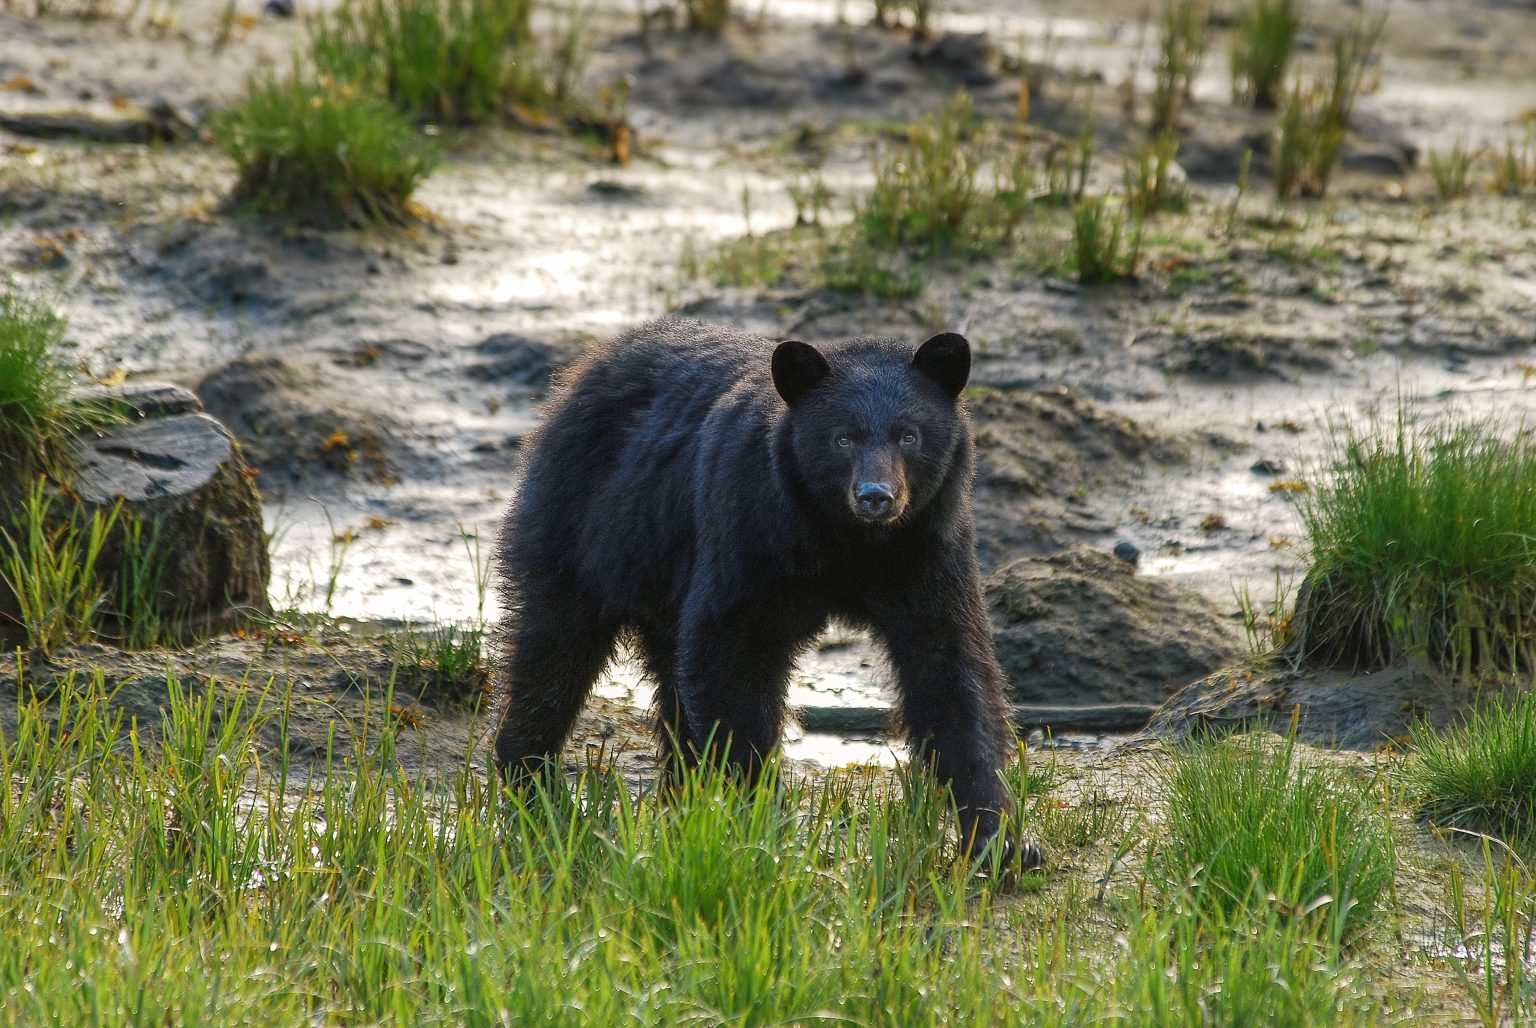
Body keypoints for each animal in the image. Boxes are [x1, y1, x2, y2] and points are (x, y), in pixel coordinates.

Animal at [491, 315, 1019, 860]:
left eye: (908, 435)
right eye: (843, 438)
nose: (876, 496)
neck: (848, 540)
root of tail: (583, 371)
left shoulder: (928, 551)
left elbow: (951, 673)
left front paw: (999, 842)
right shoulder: (750, 530)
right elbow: (729, 658)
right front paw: (761, 820)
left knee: (663, 675)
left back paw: (677, 798)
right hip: (586, 527)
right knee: (553, 651)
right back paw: (535, 790)